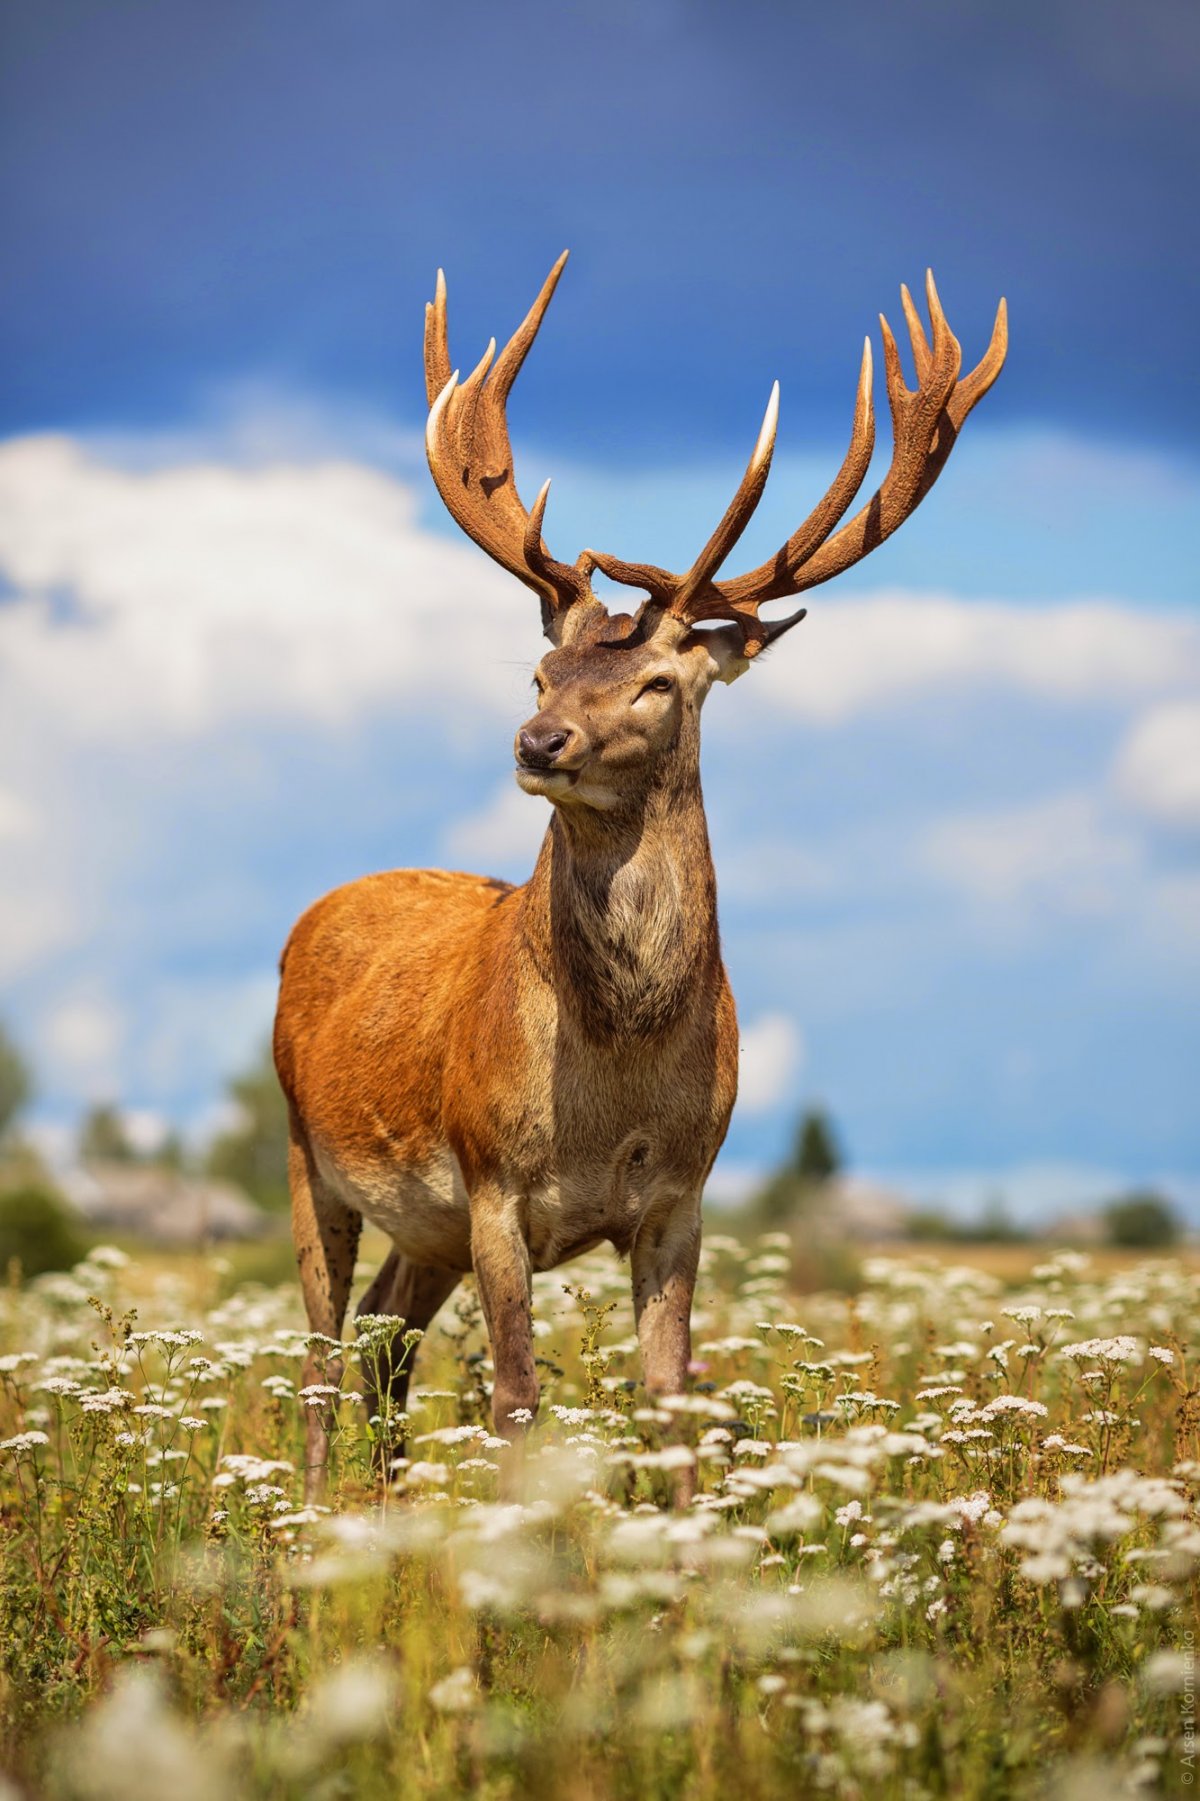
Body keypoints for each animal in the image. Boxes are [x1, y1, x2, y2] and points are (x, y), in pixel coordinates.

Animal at [273, 252, 1006, 1501]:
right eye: (541, 670)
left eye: (660, 682)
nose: (538, 742)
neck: (614, 1082)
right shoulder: (492, 1179)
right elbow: (517, 1398)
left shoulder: (682, 1195)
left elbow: (670, 1397)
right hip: (305, 1149)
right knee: (323, 1348)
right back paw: (314, 1520)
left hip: (420, 1227)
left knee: (383, 1336)